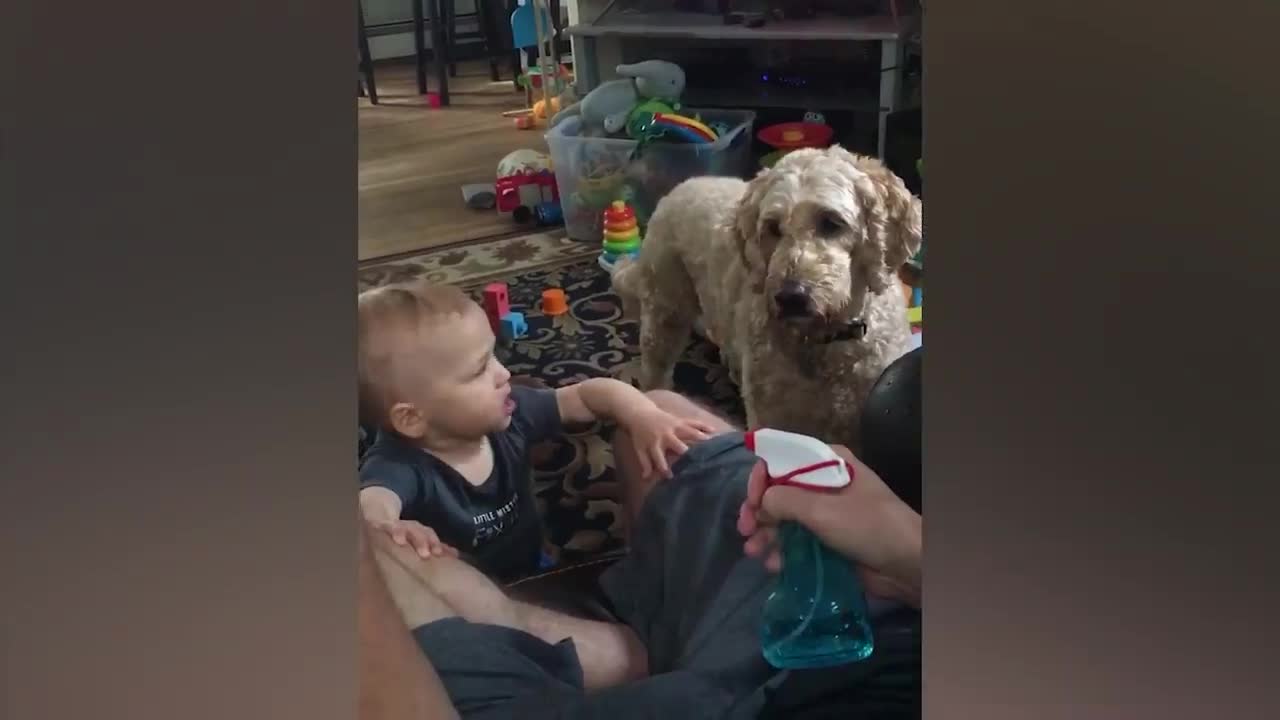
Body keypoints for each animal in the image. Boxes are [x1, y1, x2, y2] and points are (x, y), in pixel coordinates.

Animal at [609, 144, 921, 448]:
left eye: (832, 223)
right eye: (772, 227)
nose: (790, 297)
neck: (825, 340)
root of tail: (681, 186)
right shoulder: (773, 418)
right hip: (665, 313)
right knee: (656, 371)